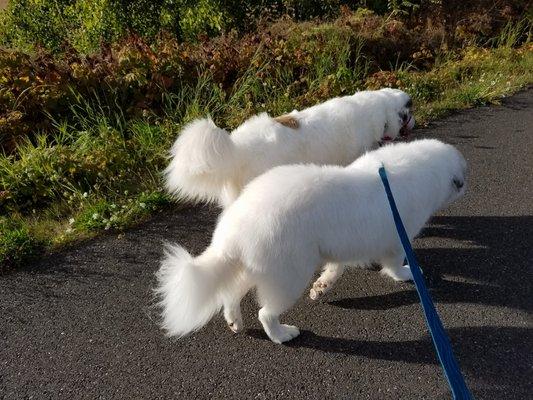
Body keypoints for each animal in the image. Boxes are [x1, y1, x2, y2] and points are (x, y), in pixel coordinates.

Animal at [155, 140, 466, 344]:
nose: (464, 185)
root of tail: (235, 230)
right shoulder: (397, 239)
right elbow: (394, 264)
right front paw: (408, 274)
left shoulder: (341, 246)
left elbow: (335, 268)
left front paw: (322, 287)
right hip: (288, 276)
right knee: (265, 313)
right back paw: (283, 334)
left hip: (259, 268)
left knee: (230, 295)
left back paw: (235, 322)